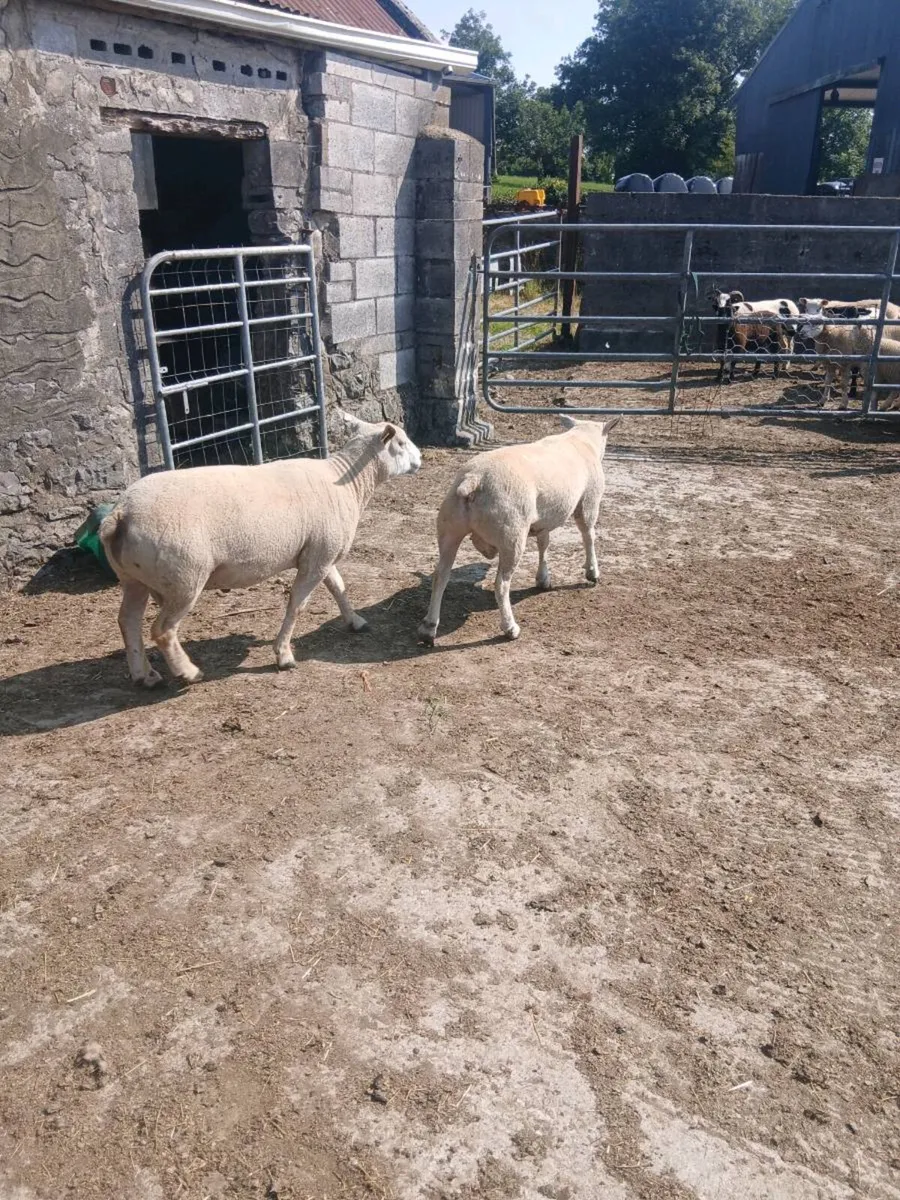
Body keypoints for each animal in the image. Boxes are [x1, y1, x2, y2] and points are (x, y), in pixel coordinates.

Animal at [100, 413, 422, 686]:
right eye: (401, 443)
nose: (420, 458)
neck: (348, 483)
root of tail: (119, 514)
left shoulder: (321, 553)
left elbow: (338, 587)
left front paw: (355, 621)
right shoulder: (318, 558)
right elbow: (298, 605)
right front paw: (284, 655)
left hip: (134, 578)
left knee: (127, 621)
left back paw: (144, 675)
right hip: (185, 577)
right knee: (163, 630)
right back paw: (188, 672)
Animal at [417, 415, 619, 646]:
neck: (581, 440)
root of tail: (473, 480)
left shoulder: (543, 519)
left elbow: (543, 544)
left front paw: (543, 578)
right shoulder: (589, 501)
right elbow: (588, 535)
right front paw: (592, 572)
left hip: (449, 528)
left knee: (440, 576)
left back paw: (428, 628)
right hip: (511, 535)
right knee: (501, 584)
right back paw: (510, 628)